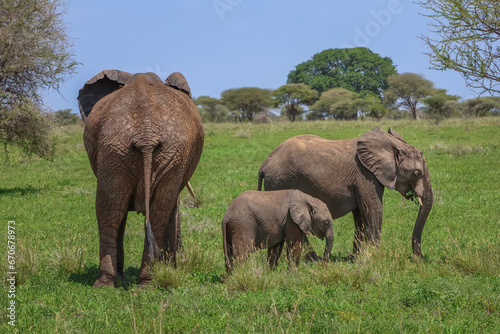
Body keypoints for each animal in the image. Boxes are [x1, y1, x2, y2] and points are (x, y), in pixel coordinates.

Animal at [78, 70, 203, 288]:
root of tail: (146, 134)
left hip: (127, 151)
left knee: (114, 211)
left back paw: (120, 283)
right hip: (122, 150)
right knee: (121, 211)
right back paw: (133, 282)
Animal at [258, 126, 434, 258]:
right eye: (417, 173)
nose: (418, 256)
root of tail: (264, 165)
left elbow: (360, 215)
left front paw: (357, 258)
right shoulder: (365, 175)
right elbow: (373, 209)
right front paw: (376, 257)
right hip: (282, 181)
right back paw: (314, 260)